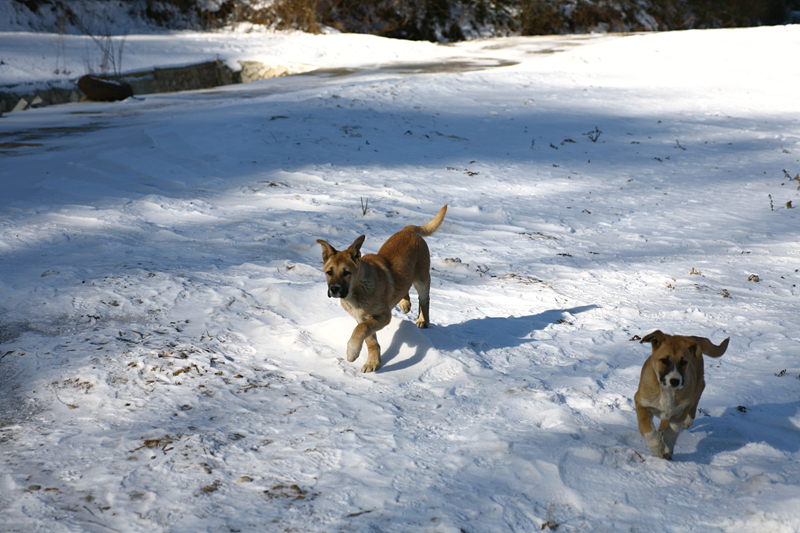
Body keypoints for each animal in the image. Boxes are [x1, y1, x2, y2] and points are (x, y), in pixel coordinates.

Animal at [316, 206, 446, 372]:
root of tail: (408, 229)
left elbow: (361, 329)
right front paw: (373, 362)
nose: (334, 289)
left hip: (422, 279)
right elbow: (369, 339)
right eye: (329, 272)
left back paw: (423, 320)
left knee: (424, 299)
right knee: (403, 286)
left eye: (346, 273)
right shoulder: (362, 317)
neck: (357, 292)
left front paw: (352, 351)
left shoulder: (384, 315)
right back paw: (405, 303)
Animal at [636, 328, 728, 458]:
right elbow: (647, 429)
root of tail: (690, 337)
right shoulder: (642, 403)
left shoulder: (680, 413)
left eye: (684, 362)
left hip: (698, 386)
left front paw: (667, 451)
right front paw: (657, 446)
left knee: (694, 402)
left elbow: (671, 434)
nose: (675, 381)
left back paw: (688, 422)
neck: (667, 390)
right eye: (664, 360)